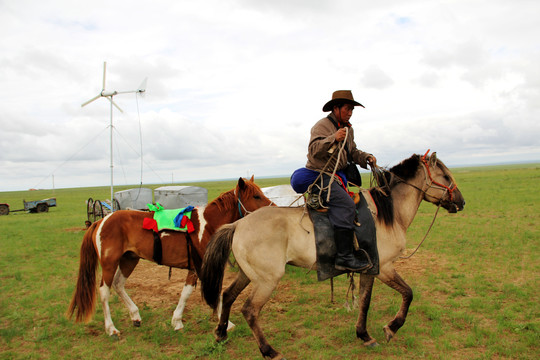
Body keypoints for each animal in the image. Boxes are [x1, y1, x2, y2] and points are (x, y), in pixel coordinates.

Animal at [67, 176, 270, 338]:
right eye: (256, 196)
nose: (273, 208)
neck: (208, 225)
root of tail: (101, 221)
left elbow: (195, 292)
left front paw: (178, 321)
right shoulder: (199, 267)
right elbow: (201, 292)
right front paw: (219, 324)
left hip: (129, 259)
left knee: (118, 284)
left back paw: (135, 316)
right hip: (110, 263)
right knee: (104, 291)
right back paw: (111, 328)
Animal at [200, 153, 466, 360]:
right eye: (445, 176)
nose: (461, 202)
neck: (387, 215)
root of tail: (238, 224)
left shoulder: (369, 269)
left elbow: (365, 301)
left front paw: (364, 335)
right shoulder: (384, 267)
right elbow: (407, 293)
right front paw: (391, 328)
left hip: (248, 275)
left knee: (228, 295)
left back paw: (221, 334)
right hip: (267, 280)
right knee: (250, 310)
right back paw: (269, 351)